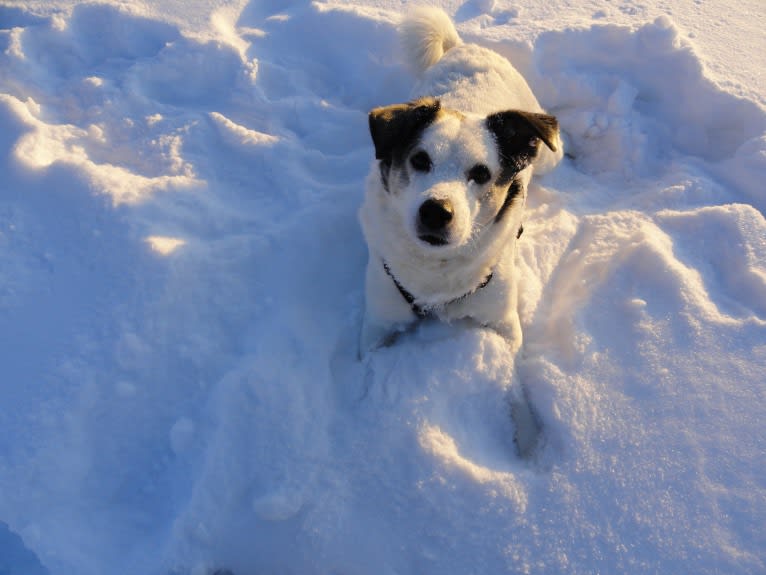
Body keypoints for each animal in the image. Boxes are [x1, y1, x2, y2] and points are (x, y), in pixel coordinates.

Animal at [360, 6, 564, 354]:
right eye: (420, 160)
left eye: (481, 173)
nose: (435, 212)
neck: (435, 276)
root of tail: (465, 46)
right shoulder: (377, 324)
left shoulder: (503, 324)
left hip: (549, 153)